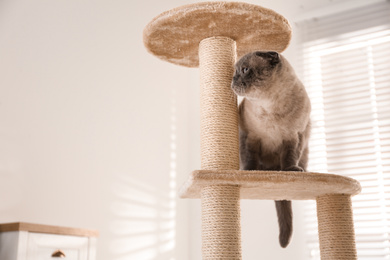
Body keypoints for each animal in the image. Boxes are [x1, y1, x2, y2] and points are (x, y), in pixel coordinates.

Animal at [232, 50, 310, 248]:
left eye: (244, 70)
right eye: (235, 71)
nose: (232, 79)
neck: (271, 107)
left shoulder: (294, 137)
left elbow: (289, 158)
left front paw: (290, 170)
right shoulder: (249, 137)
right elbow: (249, 159)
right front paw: (250, 172)